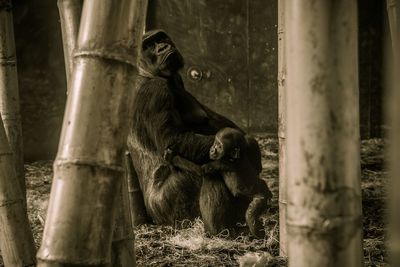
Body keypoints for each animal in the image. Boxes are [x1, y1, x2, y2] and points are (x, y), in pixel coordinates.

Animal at [127, 29, 262, 232]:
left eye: (161, 38)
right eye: (148, 46)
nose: (162, 47)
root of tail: (155, 220)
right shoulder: (155, 91)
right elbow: (174, 139)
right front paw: (249, 145)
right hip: (170, 212)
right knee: (215, 170)